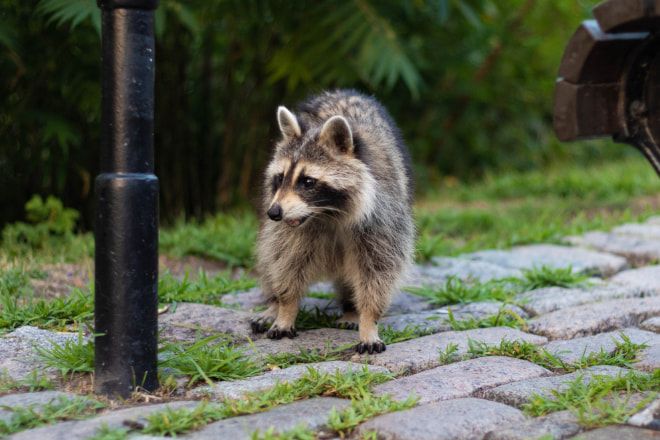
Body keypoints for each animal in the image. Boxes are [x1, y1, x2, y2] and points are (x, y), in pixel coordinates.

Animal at [251, 90, 412, 354]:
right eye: (280, 177)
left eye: (308, 181)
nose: (273, 213)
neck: (326, 213)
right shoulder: (289, 227)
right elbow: (286, 261)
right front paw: (285, 308)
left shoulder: (384, 216)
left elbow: (378, 270)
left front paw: (368, 320)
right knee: (268, 257)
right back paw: (272, 304)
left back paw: (351, 310)